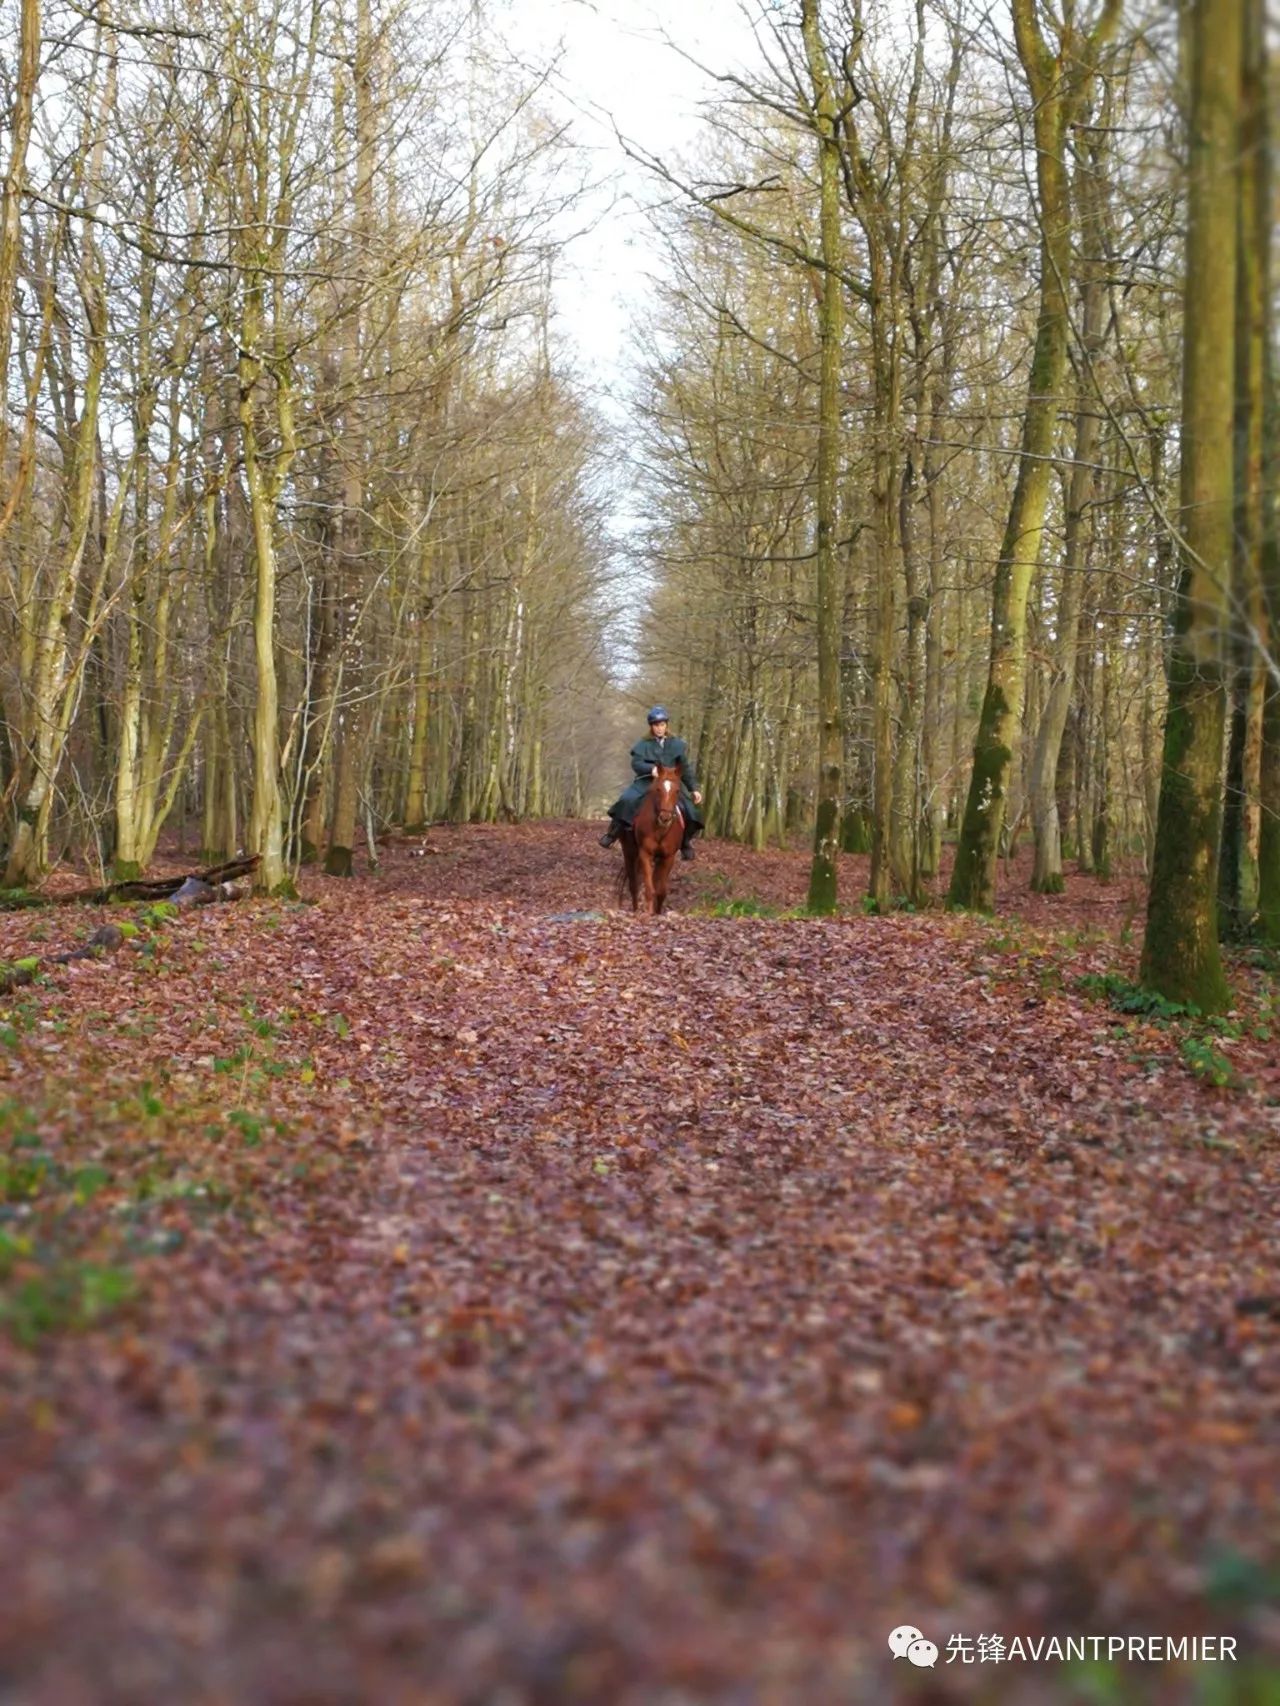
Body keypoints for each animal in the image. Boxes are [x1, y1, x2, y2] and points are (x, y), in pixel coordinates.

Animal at [617, 764, 686, 914]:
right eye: (658, 789)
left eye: (677, 791)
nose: (665, 818)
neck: (660, 829)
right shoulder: (645, 854)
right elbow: (649, 889)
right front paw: (648, 912)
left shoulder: (668, 857)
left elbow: (660, 891)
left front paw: (657, 912)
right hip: (629, 853)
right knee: (633, 885)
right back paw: (635, 909)